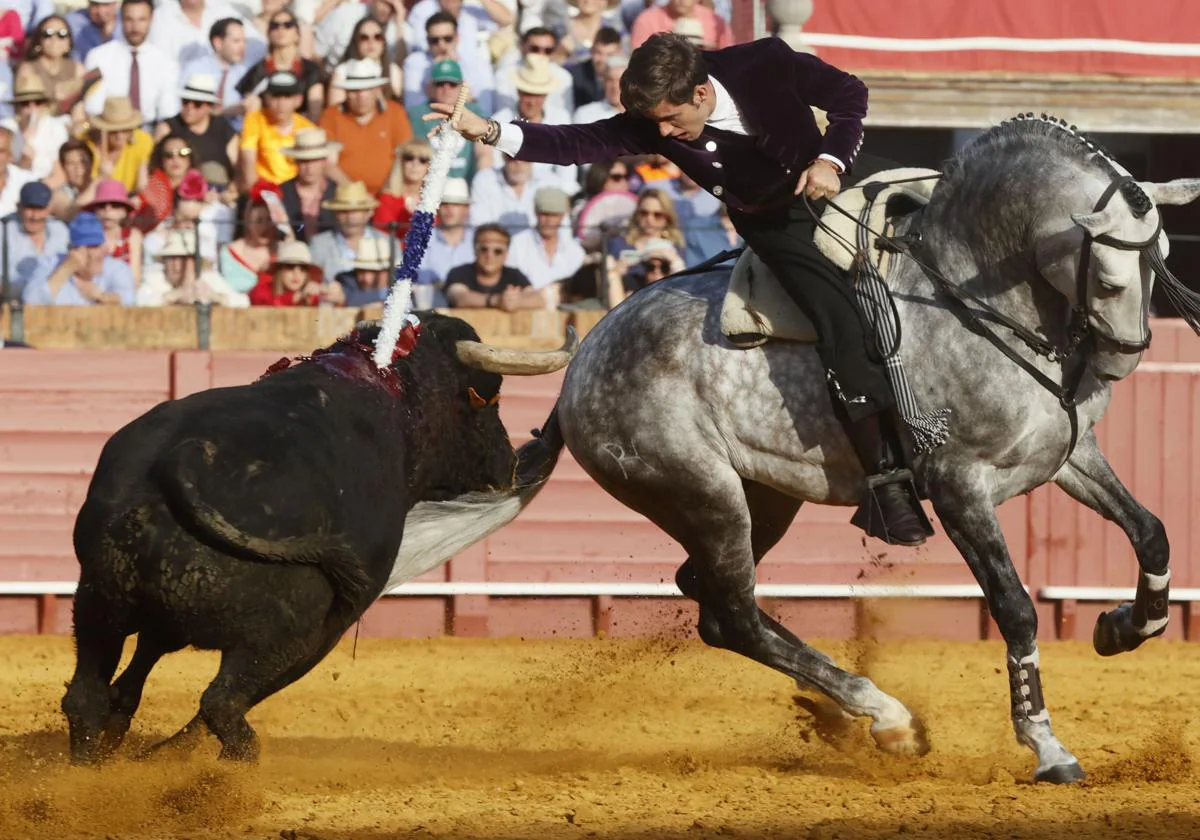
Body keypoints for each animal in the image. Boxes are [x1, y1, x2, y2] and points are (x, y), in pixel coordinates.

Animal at [63, 314, 573, 763]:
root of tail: (183, 461)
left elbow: (137, 673)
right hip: (284, 633)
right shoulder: (333, 623)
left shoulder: (156, 620)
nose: (509, 462)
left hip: (98, 598)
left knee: (86, 696)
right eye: (489, 396)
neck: (397, 400)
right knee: (222, 703)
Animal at [542, 116, 1200, 782]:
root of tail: (583, 363)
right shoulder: (957, 484)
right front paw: (1047, 746)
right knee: (736, 614)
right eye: (1111, 279)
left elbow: (1151, 531)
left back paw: (845, 709)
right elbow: (1014, 605)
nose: (1122, 359)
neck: (972, 297)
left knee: (711, 603)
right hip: (706, 497)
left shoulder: (1069, 455)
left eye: (1163, 262)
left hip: (763, 501)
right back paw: (886, 715)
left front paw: (1123, 627)